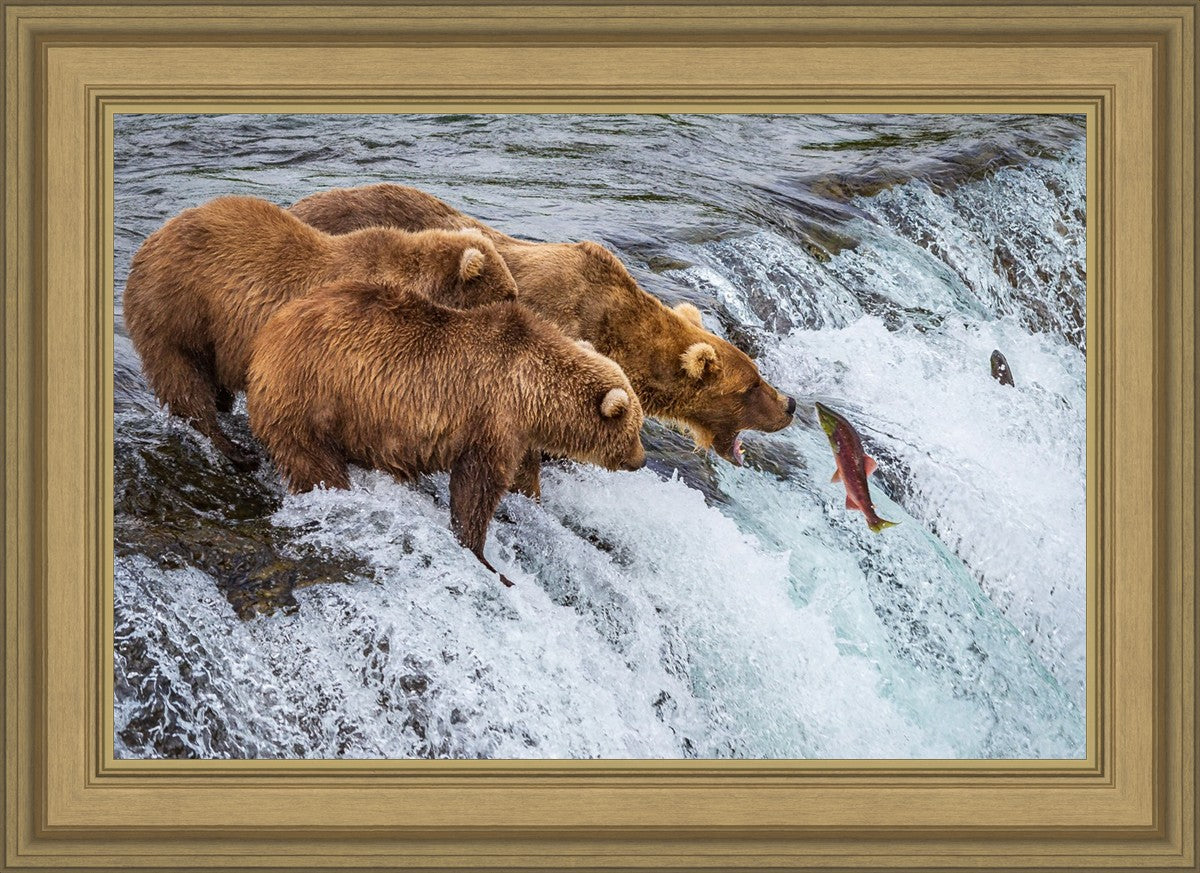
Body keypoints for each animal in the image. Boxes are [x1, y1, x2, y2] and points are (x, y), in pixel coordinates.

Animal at [123, 195, 520, 470]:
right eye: (508, 294)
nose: (520, 310)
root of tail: (149, 242)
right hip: (178, 310)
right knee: (183, 381)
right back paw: (235, 450)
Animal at [245, 279, 646, 587]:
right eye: (635, 429)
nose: (641, 460)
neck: (532, 392)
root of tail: (267, 336)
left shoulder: (517, 433)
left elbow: (521, 476)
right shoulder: (492, 417)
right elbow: (477, 487)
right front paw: (485, 558)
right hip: (312, 397)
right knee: (314, 462)